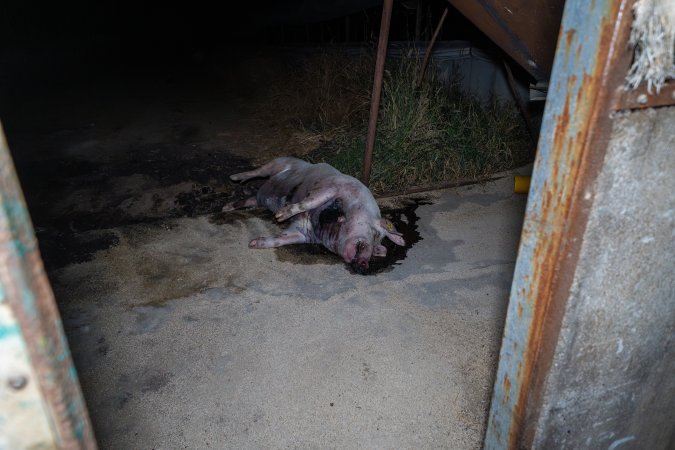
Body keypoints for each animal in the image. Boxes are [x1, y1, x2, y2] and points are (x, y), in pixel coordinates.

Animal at [226, 156, 406, 272]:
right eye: (375, 233)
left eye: (377, 247)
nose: (364, 264)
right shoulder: (332, 186)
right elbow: (309, 201)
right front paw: (280, 215)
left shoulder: (304, 233)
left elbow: (281, 239)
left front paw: (253, 244)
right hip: (281, 162)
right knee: (259, 171)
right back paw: (234, 178)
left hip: (260, 198)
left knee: (250, 199)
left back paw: (226, 208)